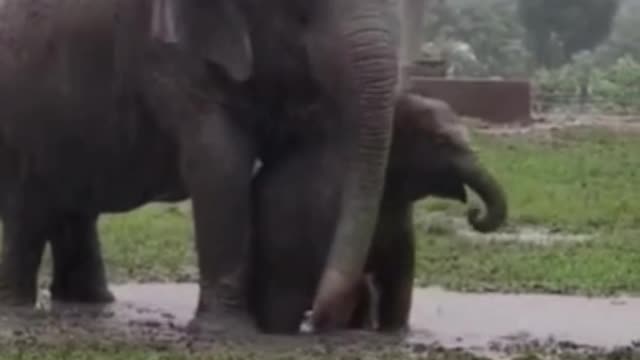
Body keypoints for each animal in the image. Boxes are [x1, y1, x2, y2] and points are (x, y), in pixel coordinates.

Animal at [0, 0, 400, 334]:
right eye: (301, 10)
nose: (321, 319)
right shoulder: (168, 55)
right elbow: (220, 163)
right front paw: (229, 331)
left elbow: (304, 168)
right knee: (29, 203)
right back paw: (19, 308)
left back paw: (91, 301)